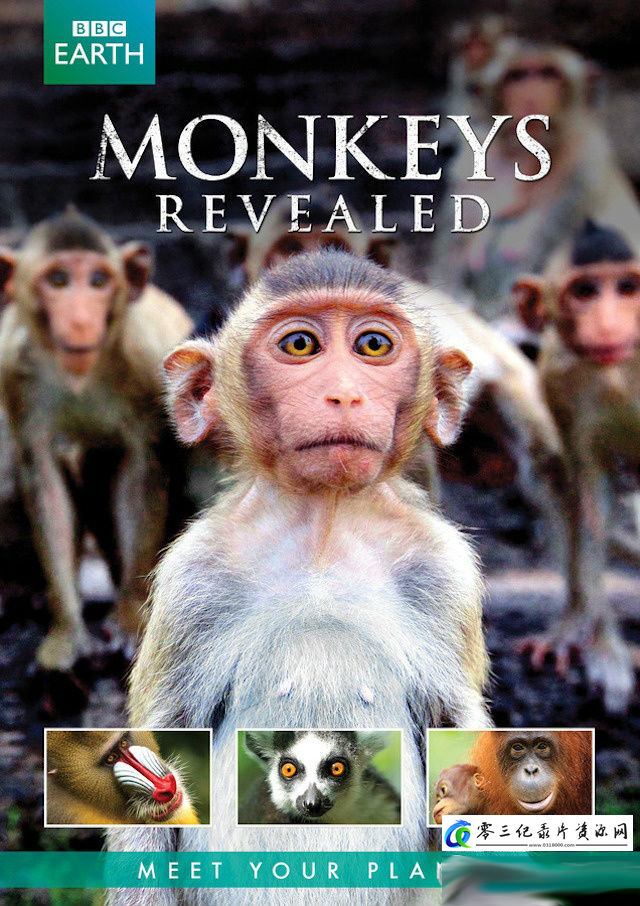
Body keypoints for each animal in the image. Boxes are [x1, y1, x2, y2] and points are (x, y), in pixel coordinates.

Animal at [0, 208, 195, 670]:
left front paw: (128, 622)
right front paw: (66, 632)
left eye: (98, 281)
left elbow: (142, 471)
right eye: (57, 281)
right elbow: (43, 478)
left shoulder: (145, 361)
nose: (80, 319)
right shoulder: (13, 370)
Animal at [514, 218, 640, 712]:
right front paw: (601, 648)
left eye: (627, 287)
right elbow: (590, 497)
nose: (608, 323)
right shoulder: (559, 378)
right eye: (585, 291)